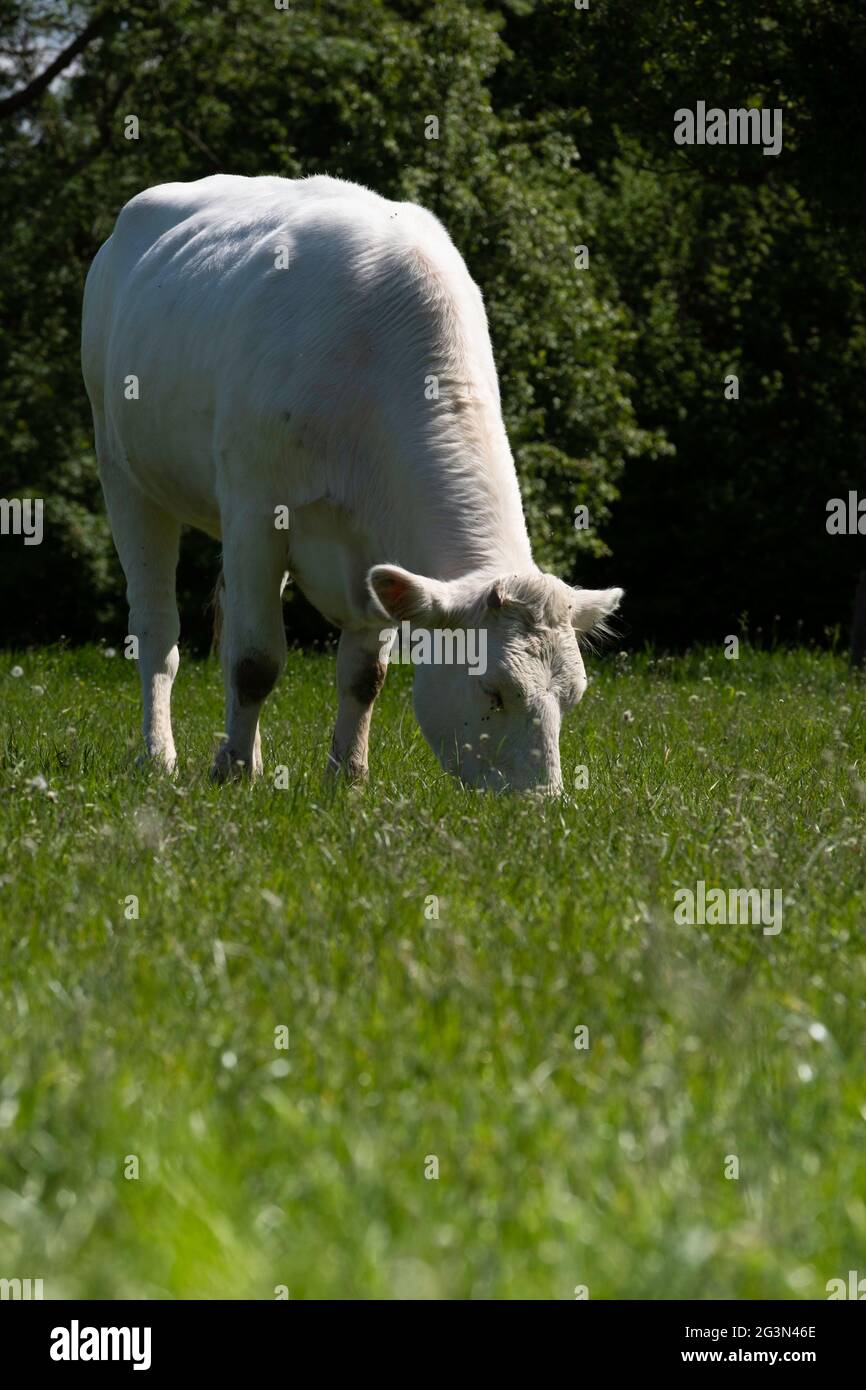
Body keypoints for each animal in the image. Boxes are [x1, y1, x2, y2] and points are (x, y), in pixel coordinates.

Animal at [81, 174, 622, 794]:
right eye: (494, 691)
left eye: (572, 698)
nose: (541, 801)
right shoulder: (255, 513)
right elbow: (256, 661)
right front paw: (233, 775)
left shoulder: (374, 547)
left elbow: (365, 675)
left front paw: (347, 777)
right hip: (124, 474)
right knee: (158, 633)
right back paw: (160, 756)